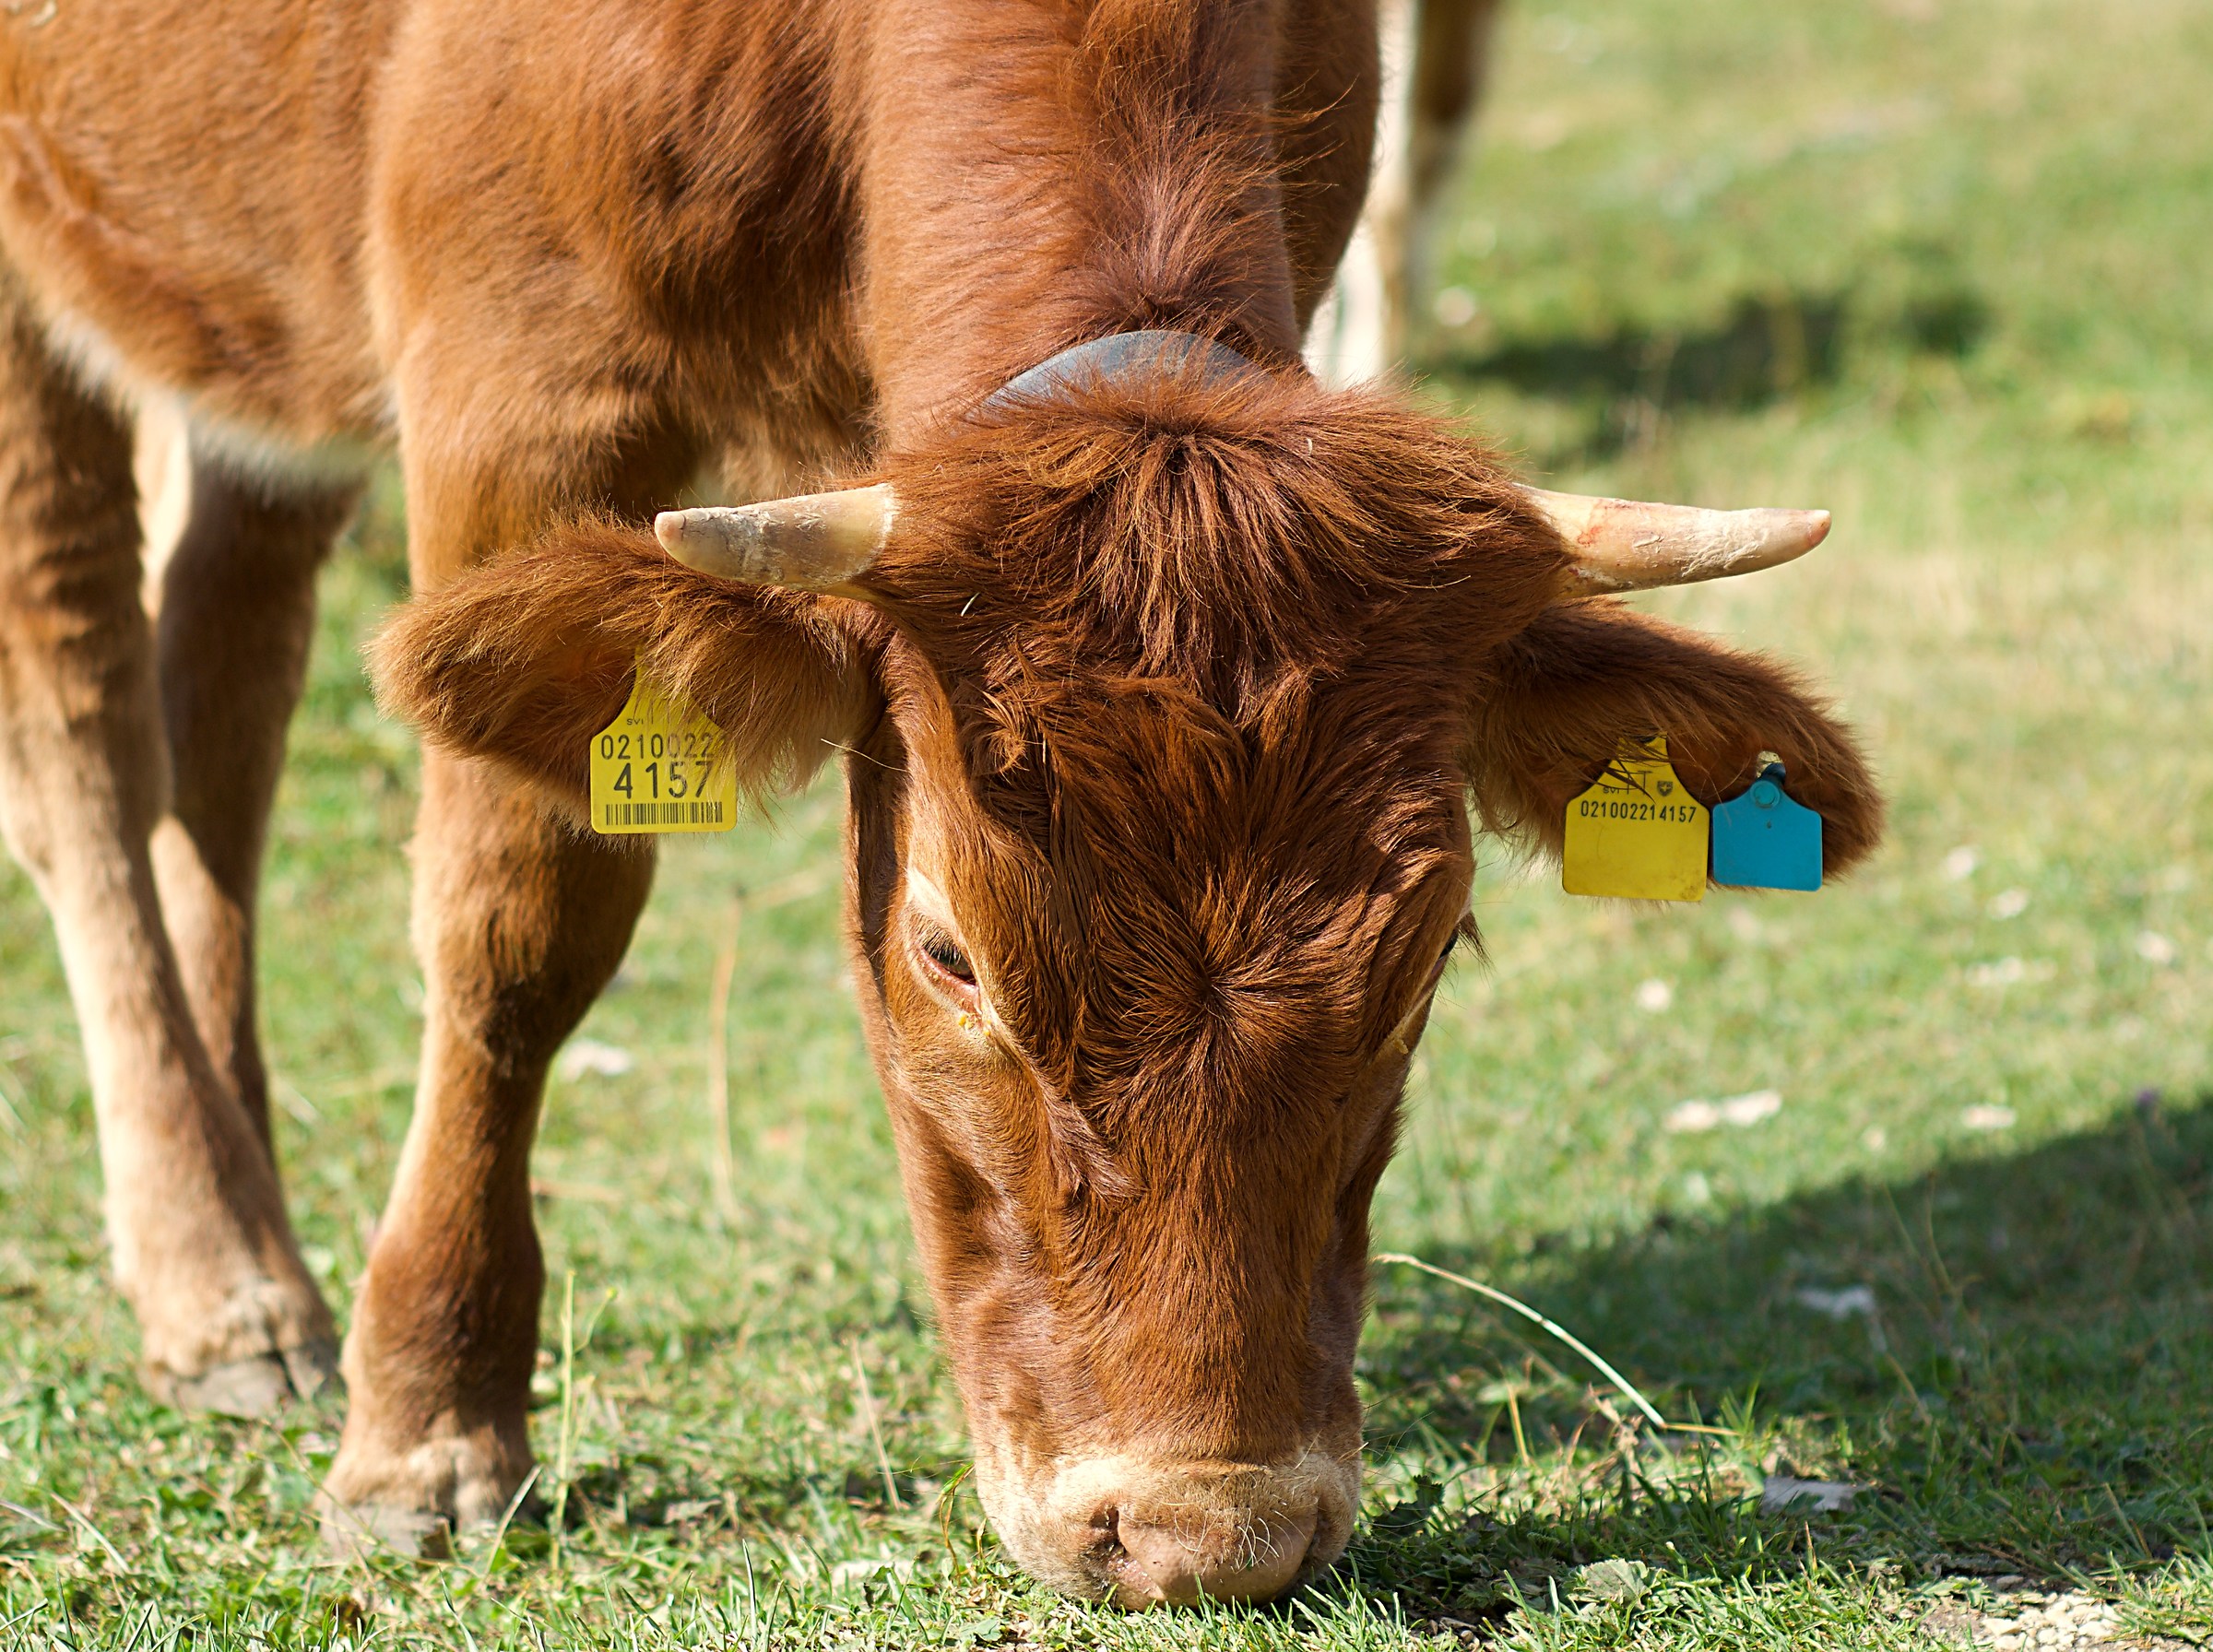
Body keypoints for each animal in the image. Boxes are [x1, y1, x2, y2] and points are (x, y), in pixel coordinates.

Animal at [0, 0, 1881, 1608]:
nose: (1202, 1531)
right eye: (950, 952)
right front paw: (429, 1428)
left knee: (218, 676)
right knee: (81, 716)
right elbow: (521, 914)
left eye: (1427, 951)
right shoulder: (522, 377)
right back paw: (216, 1271)